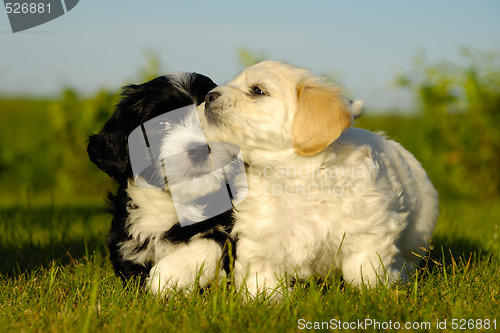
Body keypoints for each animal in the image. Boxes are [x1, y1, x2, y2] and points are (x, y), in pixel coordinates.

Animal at [201, 61, 436, 296]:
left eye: (258, 90)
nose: (208, 96)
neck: (291, 178)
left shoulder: (368, 232)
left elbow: (365, 268)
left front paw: (372, 294)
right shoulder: (260, 238)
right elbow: (262, 278)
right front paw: (265, 298)